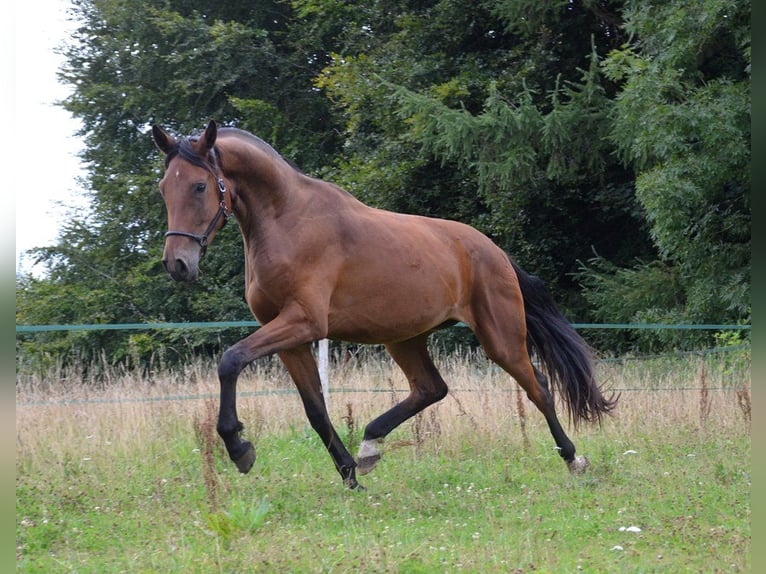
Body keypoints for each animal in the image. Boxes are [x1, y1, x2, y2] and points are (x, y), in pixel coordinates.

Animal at [152, 120, 616, 490]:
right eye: (163, 188)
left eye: (199, 186)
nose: (178, 264)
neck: (288, 221)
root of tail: (493, 251)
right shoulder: (290, 339)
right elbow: (315, 409)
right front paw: (349, 476)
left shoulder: (303, 322)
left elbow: (230, 360)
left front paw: (238, 447)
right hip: (405, 337)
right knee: (432, 388)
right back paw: (370, 447)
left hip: (500, 337)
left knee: (539, 388)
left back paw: (574, 459)